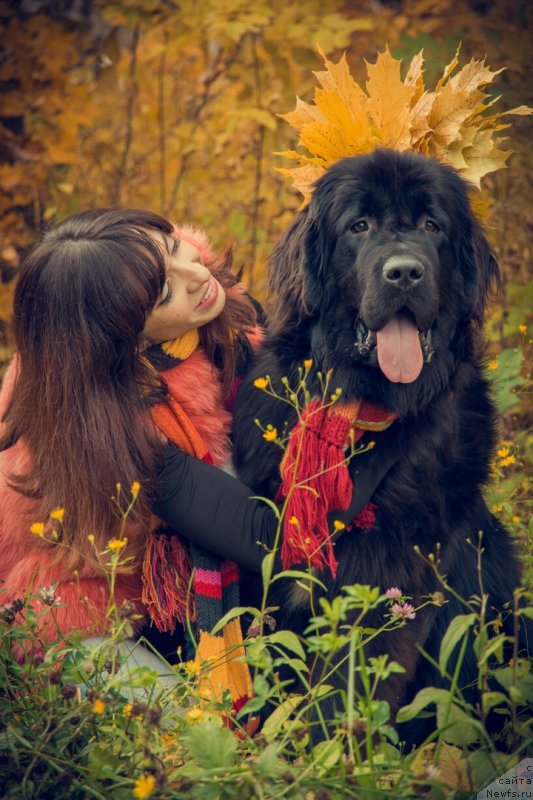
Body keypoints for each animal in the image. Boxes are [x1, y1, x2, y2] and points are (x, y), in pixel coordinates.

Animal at [233, 145, 528, 744]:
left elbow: (351, 672)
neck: (365, 412)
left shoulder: (390, 573)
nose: (405, 272)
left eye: (432, 226)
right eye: (360, 226)